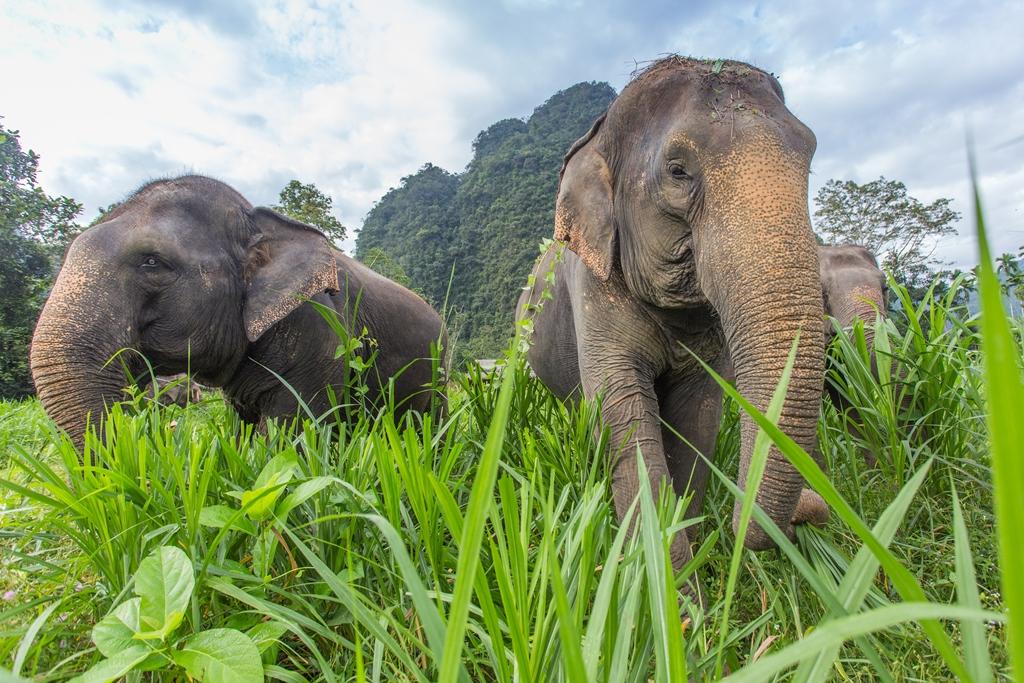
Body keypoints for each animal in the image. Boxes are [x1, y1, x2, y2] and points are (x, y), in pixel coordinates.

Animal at [517, 57, 829, 601]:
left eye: (809, 156)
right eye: (678, 171)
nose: (811, 512)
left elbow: (697, 418)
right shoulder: (593, 289)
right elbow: (624, 416)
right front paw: (675, 603)